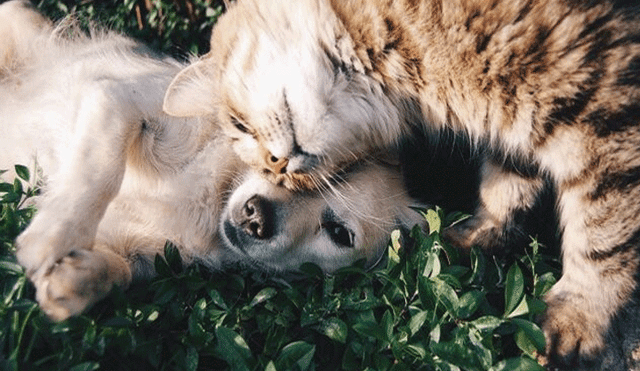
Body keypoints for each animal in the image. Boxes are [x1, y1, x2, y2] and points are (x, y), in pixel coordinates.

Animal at [162, 0, 640, 370]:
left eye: (240, 126)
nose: (279, 168)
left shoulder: (603, 110)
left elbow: (603, 234)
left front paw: (579, 317)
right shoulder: (516, 126)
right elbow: (506, 185)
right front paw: (475, 237)